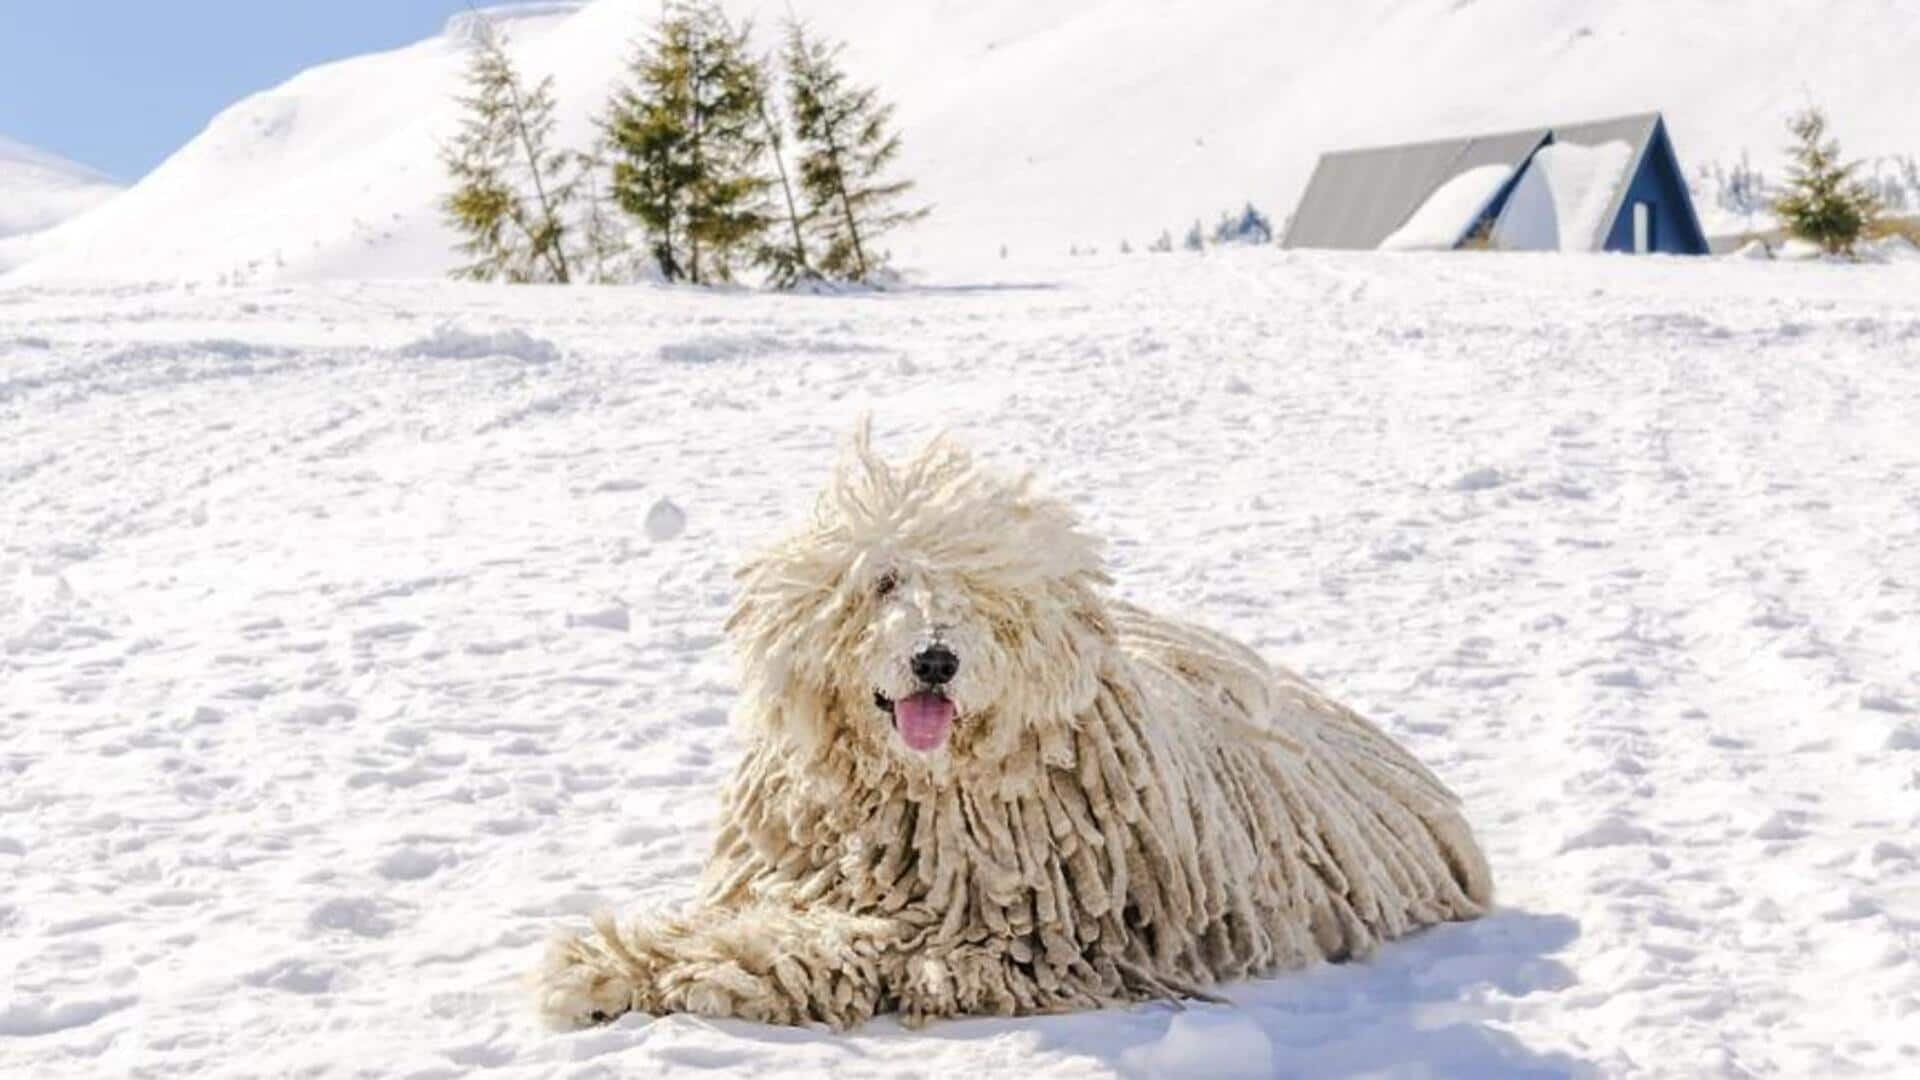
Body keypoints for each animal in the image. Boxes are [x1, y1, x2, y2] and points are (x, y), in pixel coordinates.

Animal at [533, 428, 1489, 1022]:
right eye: (885, 581)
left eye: (984, 598)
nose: (934, 659)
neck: (918, 796)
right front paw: (606, 964)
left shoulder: (988, 937)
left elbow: (831, 947)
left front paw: (698, 966)